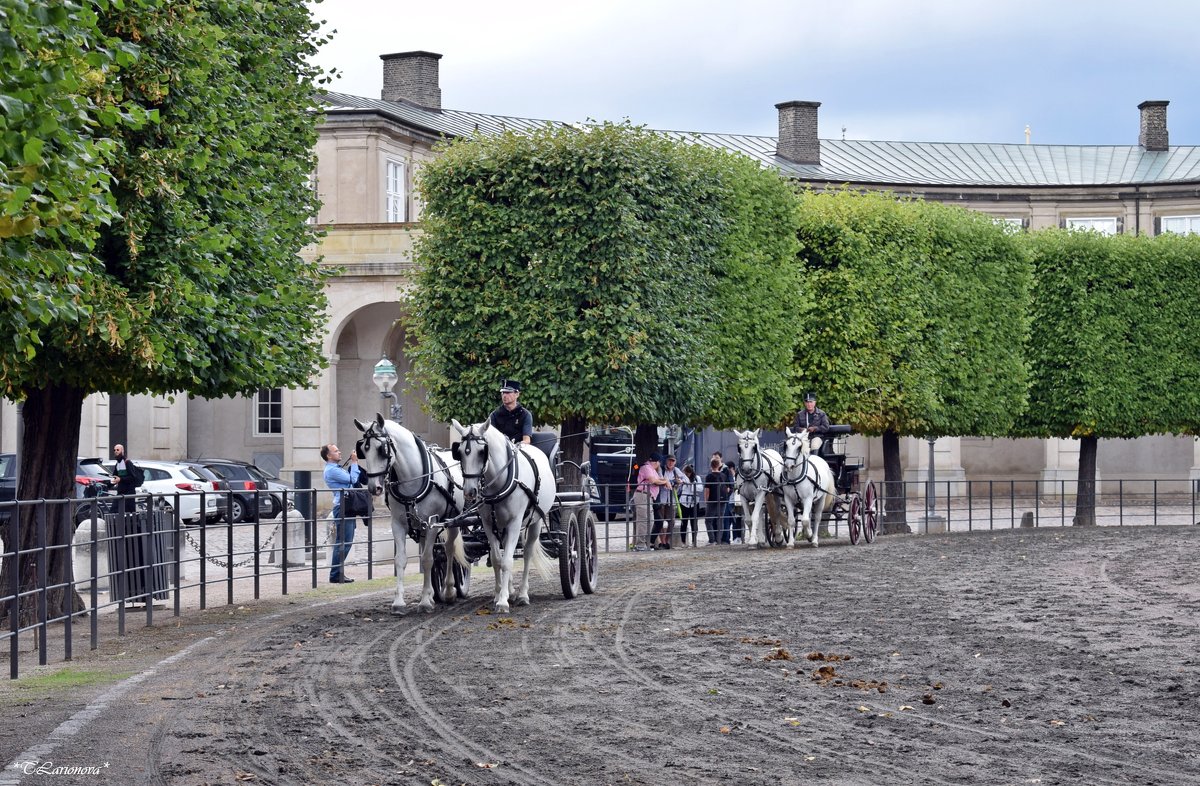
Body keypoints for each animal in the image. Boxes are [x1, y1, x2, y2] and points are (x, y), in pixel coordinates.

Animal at [350, 412, 465, 614]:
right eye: (363, 448)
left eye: (381, 449)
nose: (373, 488)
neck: (413, 479)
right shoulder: (398, 524)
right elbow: (401, 560)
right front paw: (399, 602)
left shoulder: (432, 523)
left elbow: (427, 559)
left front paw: (425, 602)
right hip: (421, 528)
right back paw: (432, 594)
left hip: (452, 522)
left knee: (449, 550)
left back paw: (449, 590)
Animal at [451, 417, 554, 614]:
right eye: (459, 453)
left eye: (482, 452)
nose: (469, 491)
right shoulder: (488, 524)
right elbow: (497, 559)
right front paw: (500, 594)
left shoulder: (515, 523)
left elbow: (507, 561)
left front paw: (503, 603)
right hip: (502, 526)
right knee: (507, 550)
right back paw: (511, 590)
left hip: (535, 522)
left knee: (527, 553)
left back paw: (522, 594)